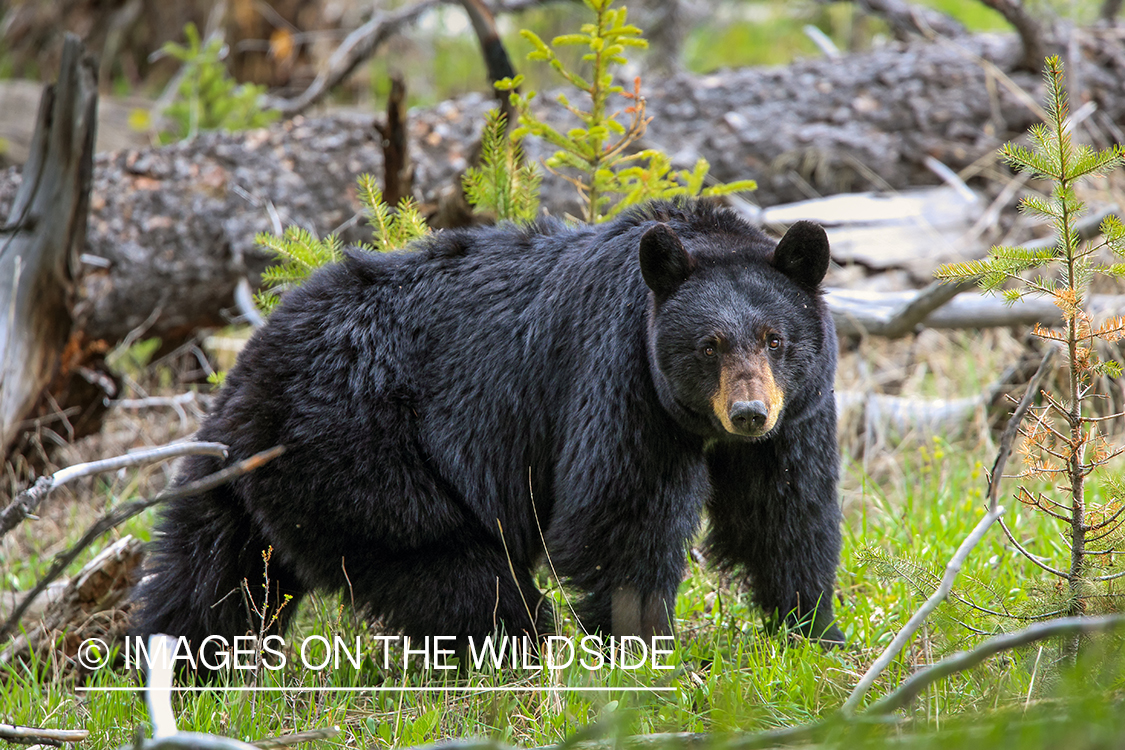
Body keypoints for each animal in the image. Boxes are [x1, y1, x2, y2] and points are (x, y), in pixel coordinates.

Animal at [130, 199, 844, 672]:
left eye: (775, 339)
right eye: (709, 344)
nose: (748, 412)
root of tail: (250, 365)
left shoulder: (797, 415)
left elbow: (783, 512)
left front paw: (814, 631)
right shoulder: (620, 378)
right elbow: (620, 519)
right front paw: (643, 648)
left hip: (240, 481)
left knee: (207, 575)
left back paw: (171, 669)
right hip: (359, 451)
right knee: (454, 570)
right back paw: (524, 654)